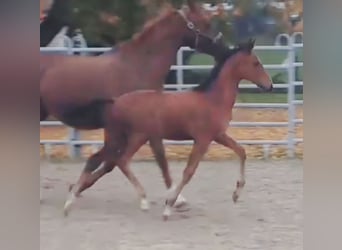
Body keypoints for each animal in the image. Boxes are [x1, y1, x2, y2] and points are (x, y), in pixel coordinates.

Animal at [40, 0, 227, 209]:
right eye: (205, 23)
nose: (225, 50)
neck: (138, 67)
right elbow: (145, 157)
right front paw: (176, 197)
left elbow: (120, 161)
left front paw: (78, 187)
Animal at [65, 38, 272, 219]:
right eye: (255, 63)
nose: (269, 85)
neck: (212, 99)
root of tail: (115, 101)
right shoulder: (203, 139)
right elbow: (189, 171)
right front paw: (168, 207)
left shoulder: (218, 135)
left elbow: (241, 151)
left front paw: (236, 194)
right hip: (129, 137)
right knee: (114, 160)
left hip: (125, 137)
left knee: (106, 160)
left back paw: (74, 202)